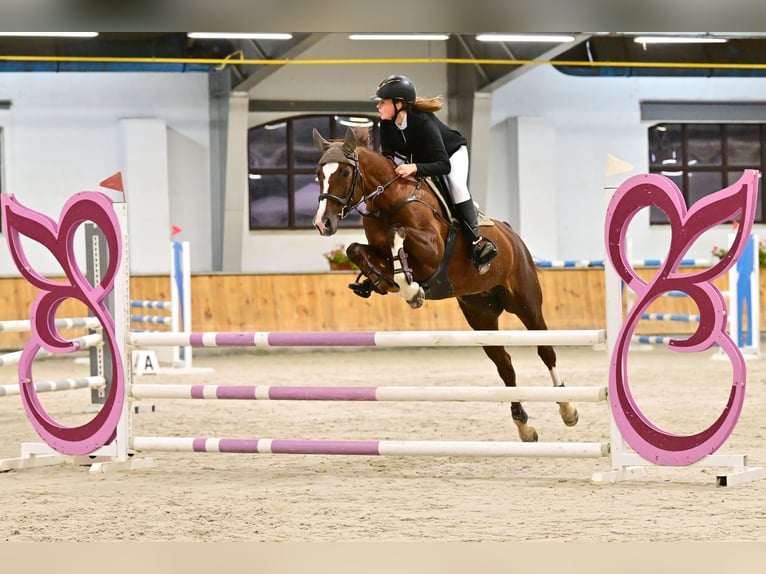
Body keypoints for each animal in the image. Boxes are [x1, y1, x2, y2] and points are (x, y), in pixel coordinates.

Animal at [310, 127, 576, 440]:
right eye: (318, 173)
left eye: (344, 172)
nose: (322, 223)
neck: (390, 200)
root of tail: (512, 235)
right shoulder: (377, 250)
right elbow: (356, 250)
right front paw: (385, 283)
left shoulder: (432, 252)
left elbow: (398, 234)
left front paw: (411, 289)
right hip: (480, 314)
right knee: (505, 364)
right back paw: (524, 425)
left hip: (526, 303)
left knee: (545, 350)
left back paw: (568, 408)